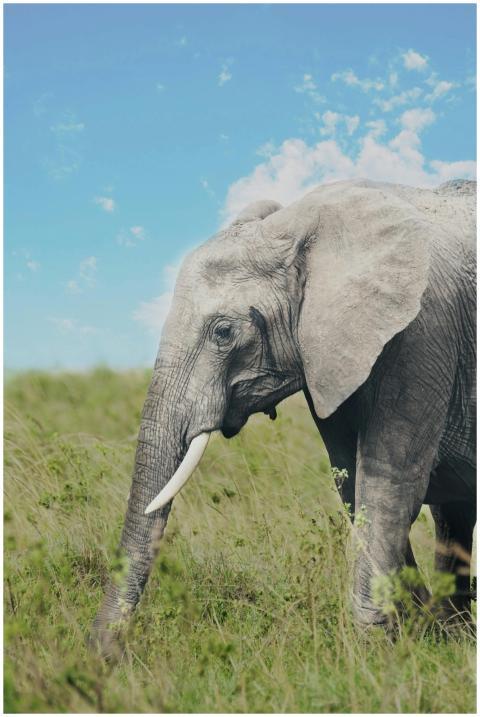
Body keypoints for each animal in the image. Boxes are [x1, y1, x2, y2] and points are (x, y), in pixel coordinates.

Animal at [91, 177, 476, 656]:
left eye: (223, 332)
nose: (106, 656)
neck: (298, 226)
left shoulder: (424, 330)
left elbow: (388, 483)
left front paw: (374, 648)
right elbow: (351, 482)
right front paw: (418, 630)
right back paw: (456, 628)